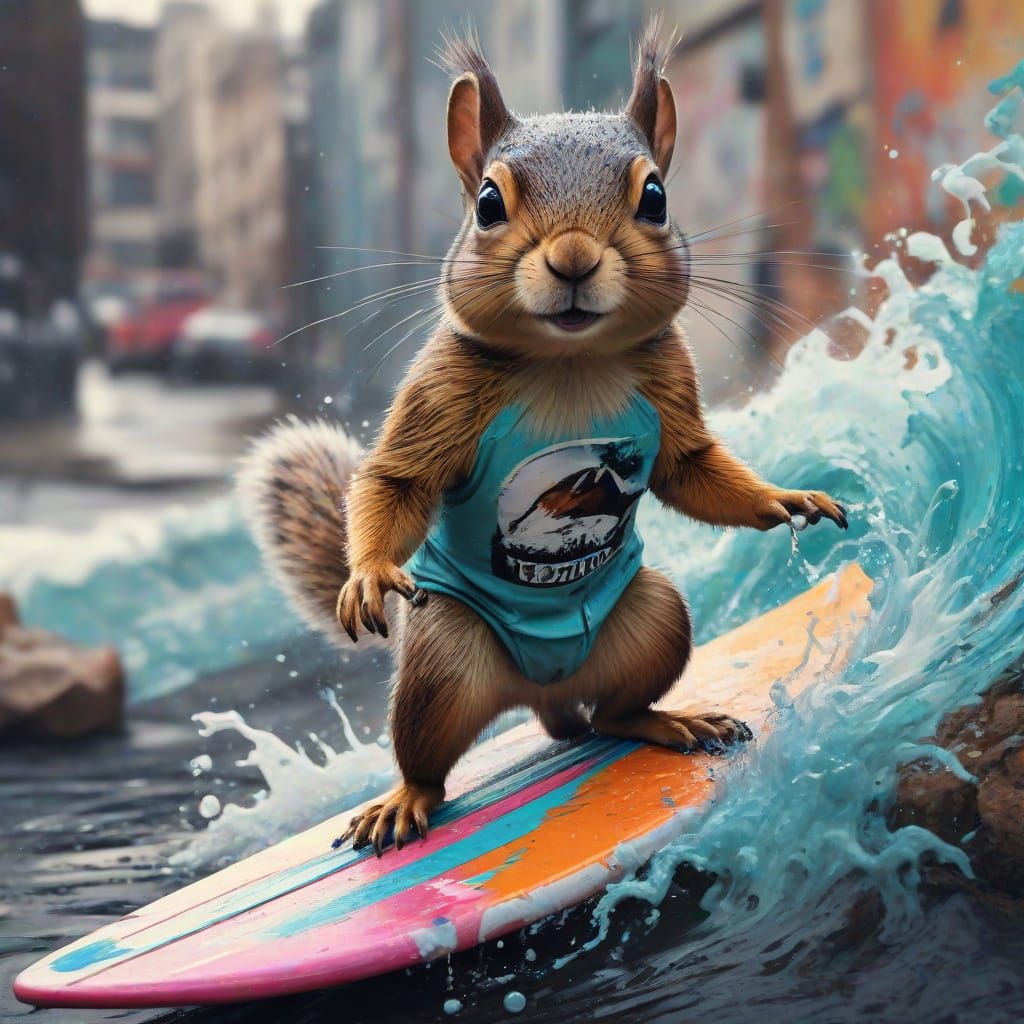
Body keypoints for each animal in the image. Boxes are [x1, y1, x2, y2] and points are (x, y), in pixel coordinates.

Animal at [238, 25, 848, 856]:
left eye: (655, 197)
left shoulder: (670, 387)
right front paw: (367, 574)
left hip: (654, 619)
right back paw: (405, 799)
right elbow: (397, 480)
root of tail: (541, 695)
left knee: (613, 712)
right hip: (443, 655)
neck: (571, 360)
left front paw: (787, 498)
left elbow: (693, 470)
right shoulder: (442, 388)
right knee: (428, 756)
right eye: (488, 203)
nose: (573, 259)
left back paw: (665, 720)